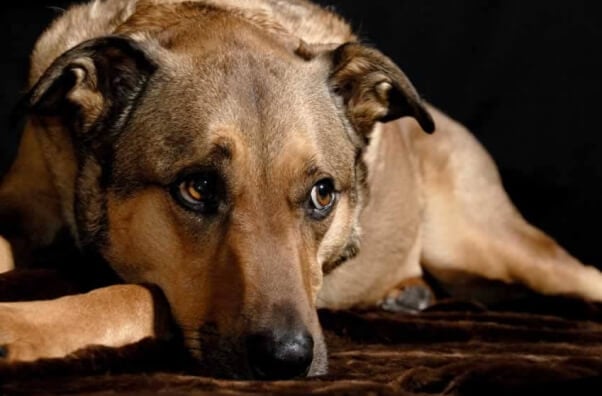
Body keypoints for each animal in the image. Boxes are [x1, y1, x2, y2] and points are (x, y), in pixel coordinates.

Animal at [1, 0, 600, 380]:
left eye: (322, 194)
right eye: (197, 187)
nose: (286, 359)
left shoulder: (163, 298)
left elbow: (128, 292)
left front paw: (23, 325)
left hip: (493, 245)